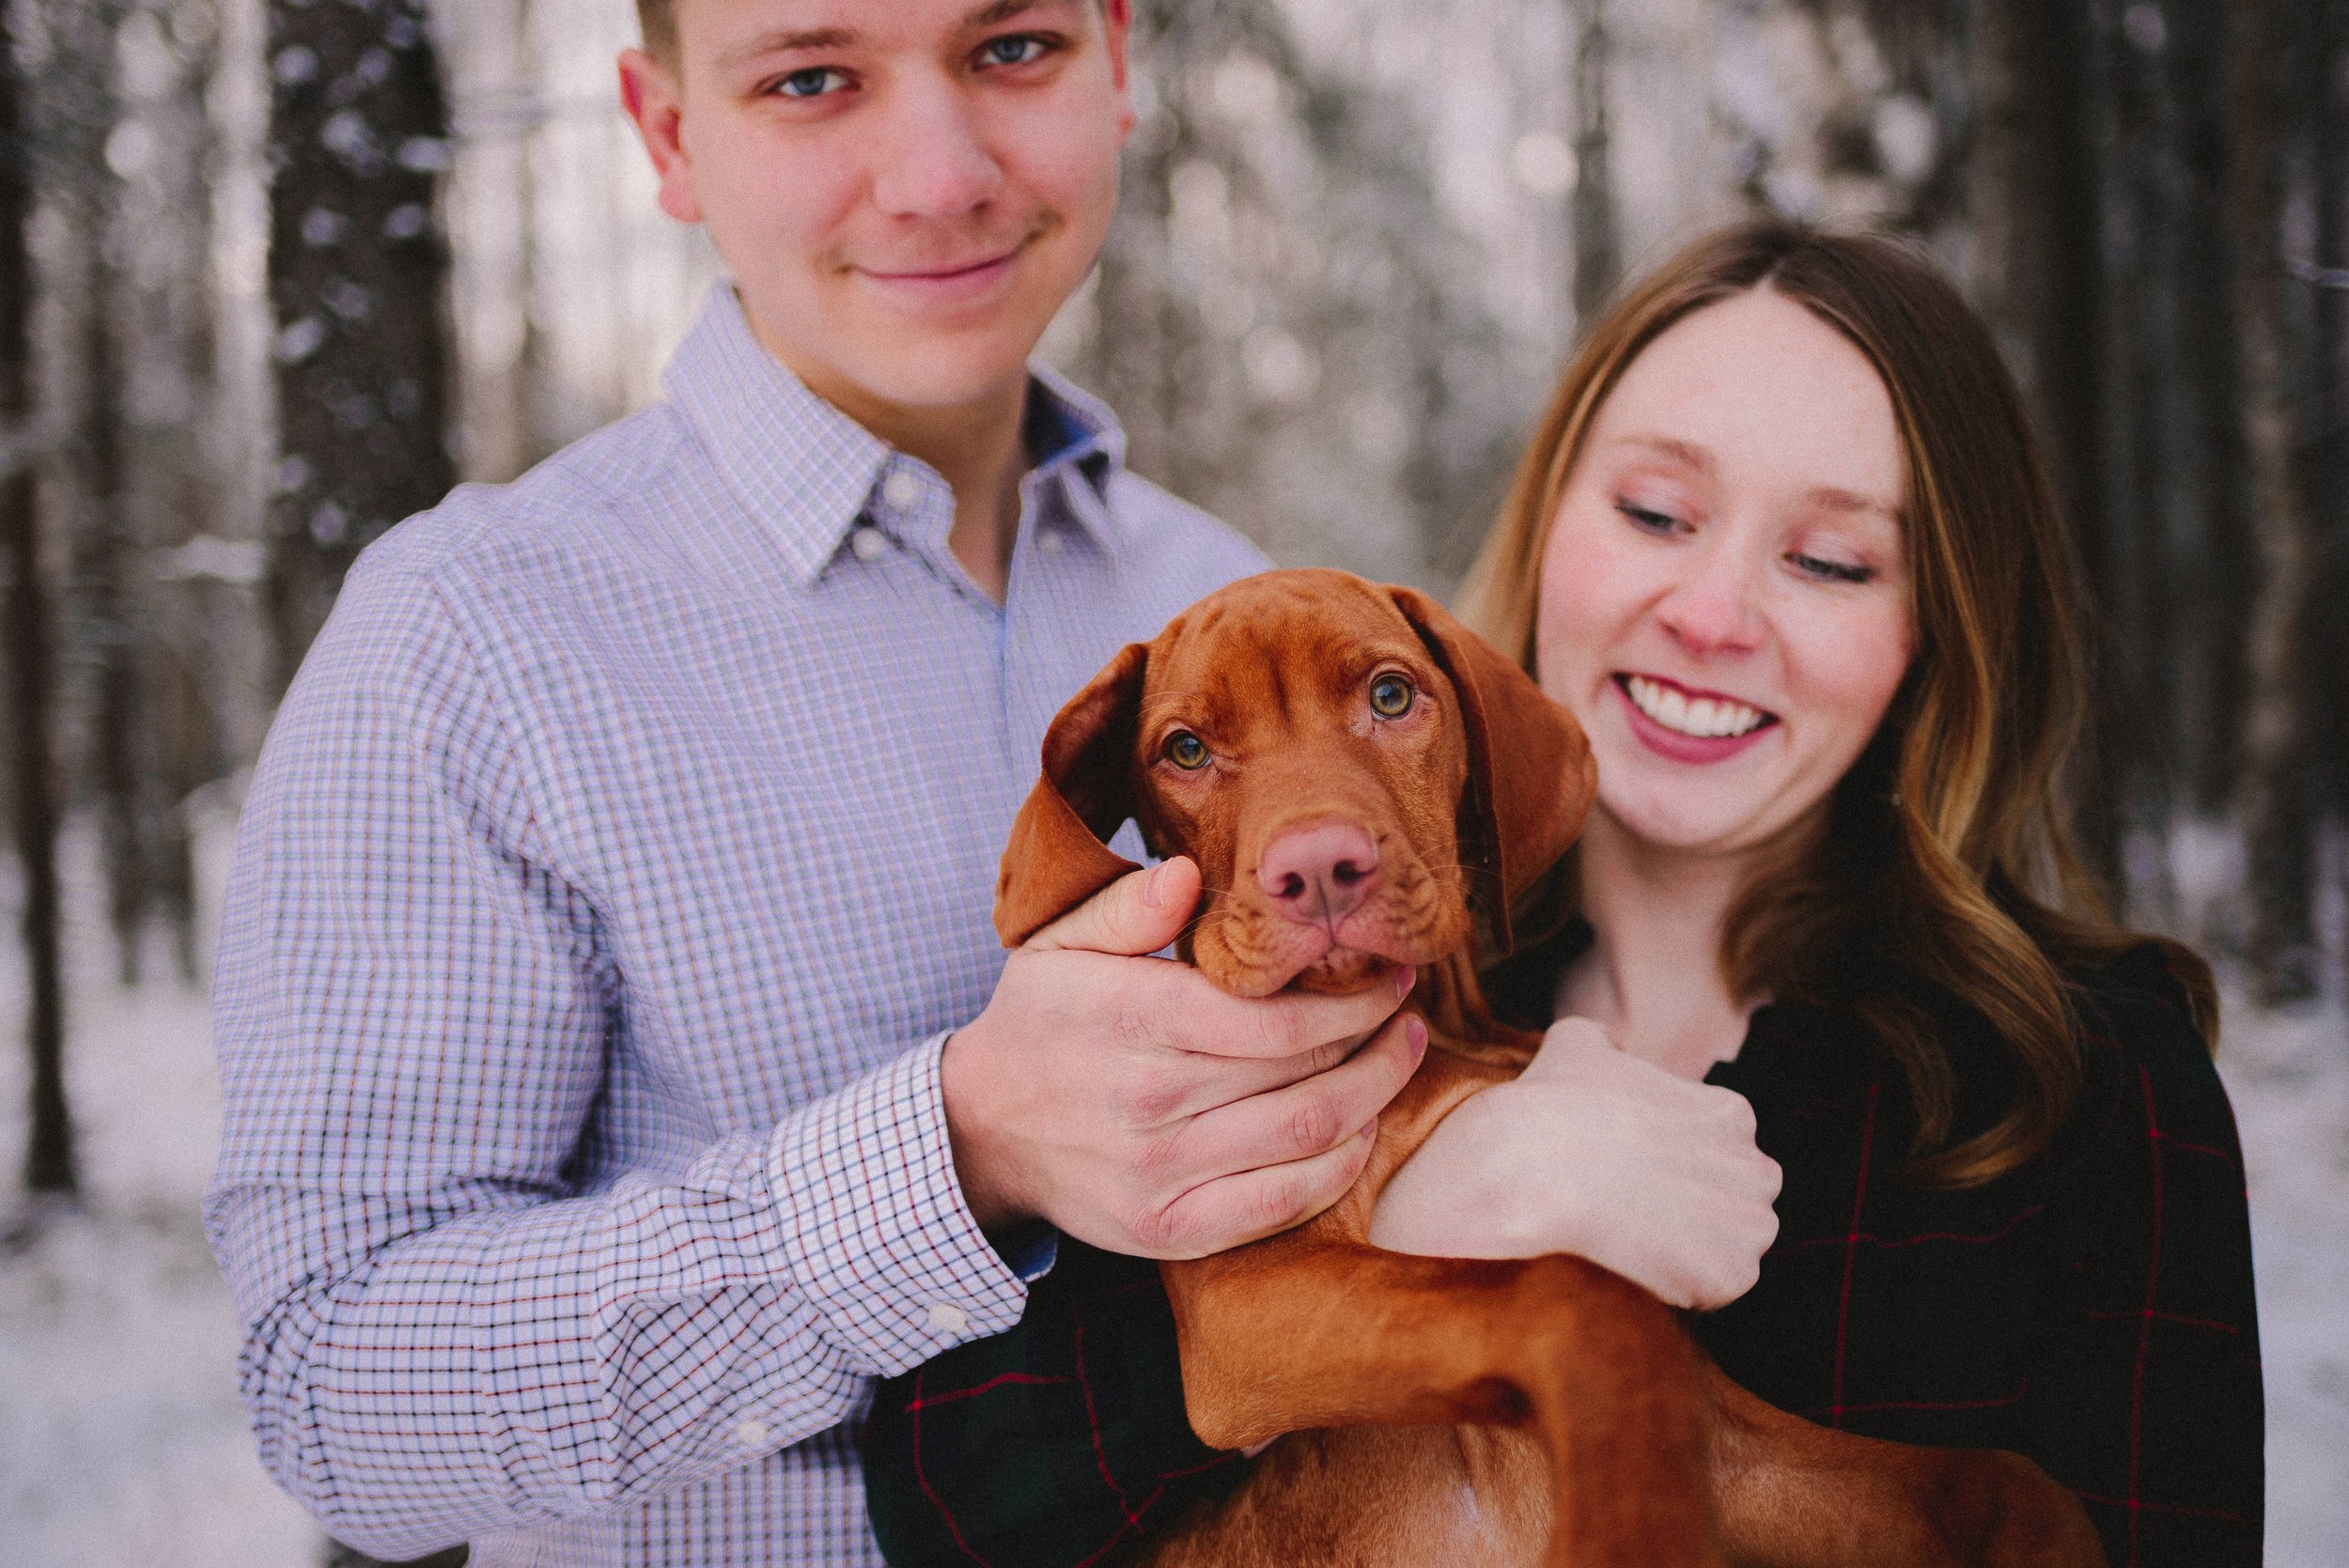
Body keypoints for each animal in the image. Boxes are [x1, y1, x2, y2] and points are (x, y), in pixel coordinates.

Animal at [982, 570, 2105, 1568]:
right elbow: (1575, 1294)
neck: (1439, 1037)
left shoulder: (1725, 1439)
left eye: (1390, 696)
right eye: (1184, 749)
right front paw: (1635, 1532)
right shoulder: (1244, 1296)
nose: (1319, 870)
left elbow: (2004, 1480)